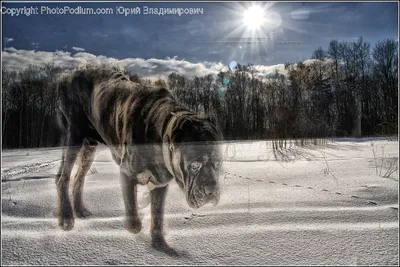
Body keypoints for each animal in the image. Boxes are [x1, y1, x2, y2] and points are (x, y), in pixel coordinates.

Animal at [54, 68, 222, 256]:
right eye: (194, 166)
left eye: (217, 165)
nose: (212, 192)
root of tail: (66, 75)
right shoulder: (126, 173)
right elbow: (133, 218)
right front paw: (135, 221)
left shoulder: (160, 183)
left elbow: (157, 215)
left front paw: (160, 244)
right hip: (74, 135)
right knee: (63, 177)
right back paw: (66, 217)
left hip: (89, 146)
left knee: (79, 177)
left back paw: (80, 210)